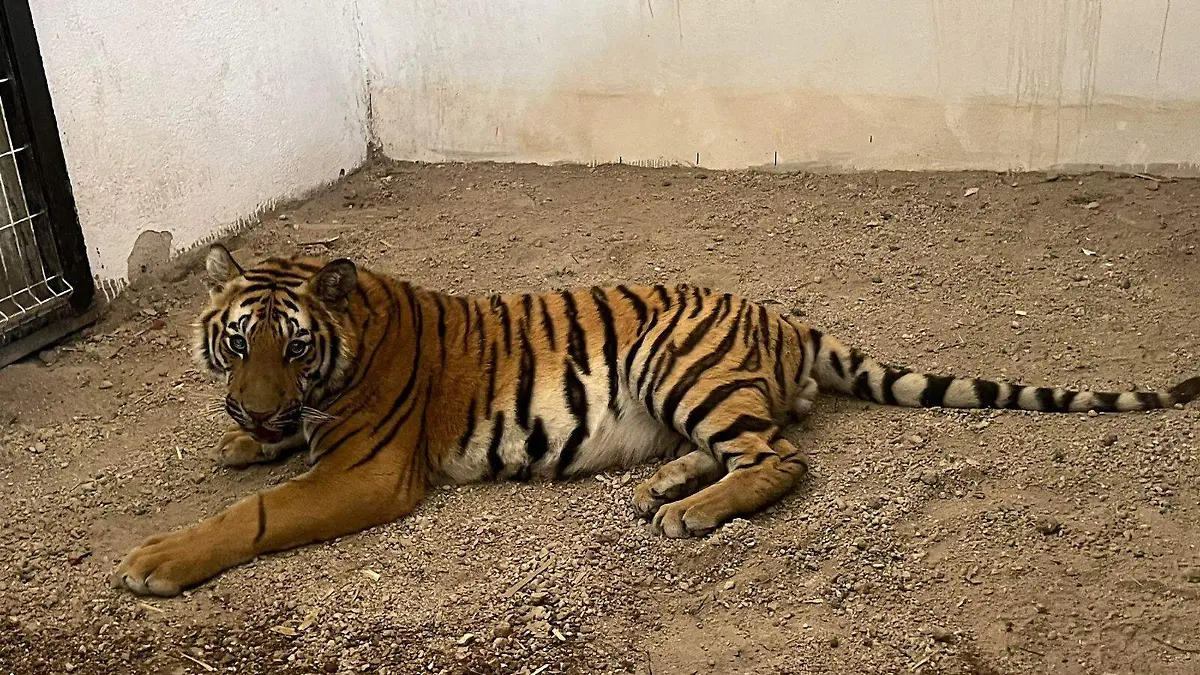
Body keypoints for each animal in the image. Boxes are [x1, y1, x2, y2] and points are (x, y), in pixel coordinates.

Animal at [112, 244, 1200, 596]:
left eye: (293, 347)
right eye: (236, 343)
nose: (254, 403)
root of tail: (782, 316)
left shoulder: (368, 472)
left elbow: (259, 514)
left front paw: (157, 559)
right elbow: (258, 461)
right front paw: (238, 437)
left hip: (682, 363)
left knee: (782, 457)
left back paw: (687, 512)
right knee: (740, 448)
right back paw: (664, 486)